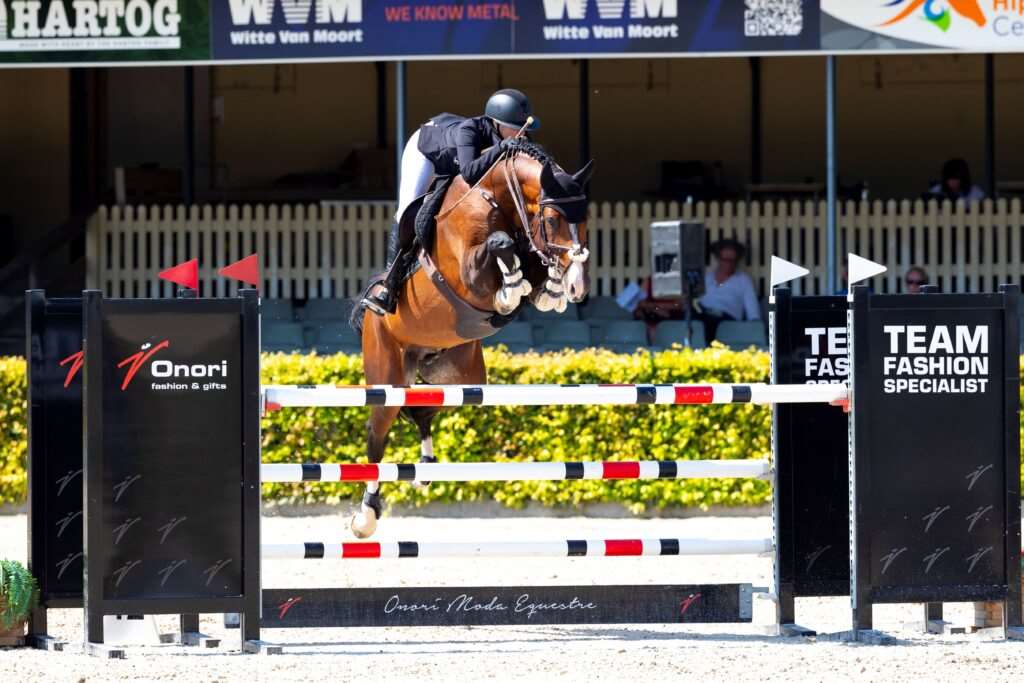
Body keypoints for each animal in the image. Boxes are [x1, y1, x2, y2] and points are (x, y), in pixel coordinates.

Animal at [351, 143, 594, 537]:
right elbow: (500, 246)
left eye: (585, 217)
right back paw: (366, 516)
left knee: (424, 409)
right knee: (377, 435)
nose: (580, 287)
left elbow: (533, 277)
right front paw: (512, 288)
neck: (495, 198)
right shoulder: (467, 272)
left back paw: (424, 469)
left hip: (460, 377)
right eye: (553, 219)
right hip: (386, 376)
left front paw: (552, 288)